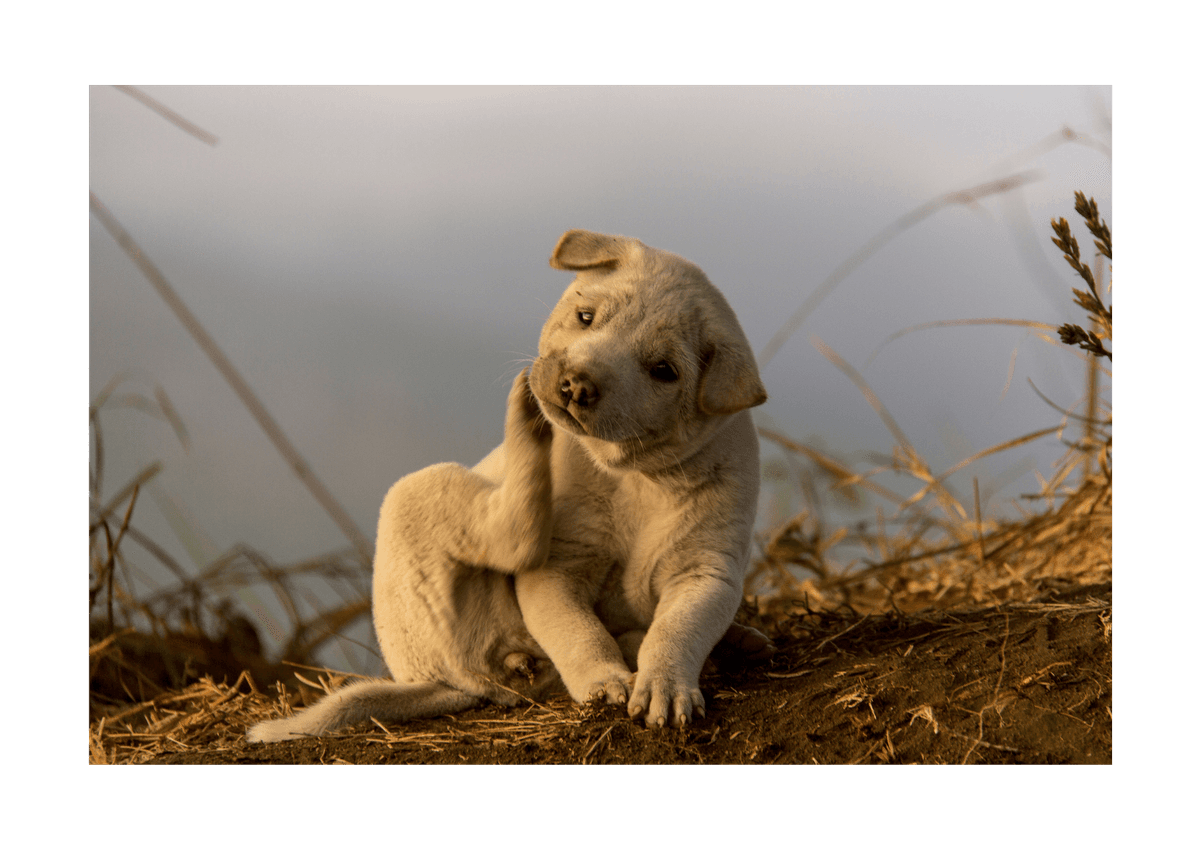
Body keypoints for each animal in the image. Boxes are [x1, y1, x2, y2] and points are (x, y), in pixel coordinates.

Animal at [247, 229, 763, 739]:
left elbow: (677, 630)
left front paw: (664, 688)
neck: (635, 475)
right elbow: (579, 632)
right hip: (419, 495)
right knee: (511, 535)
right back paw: (524, 421)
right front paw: (604, 682)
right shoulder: (556, 569)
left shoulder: (706, 572)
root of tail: (448, 685)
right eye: (586, 317)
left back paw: (735, 644)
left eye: (663, 371)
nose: (574, 386)